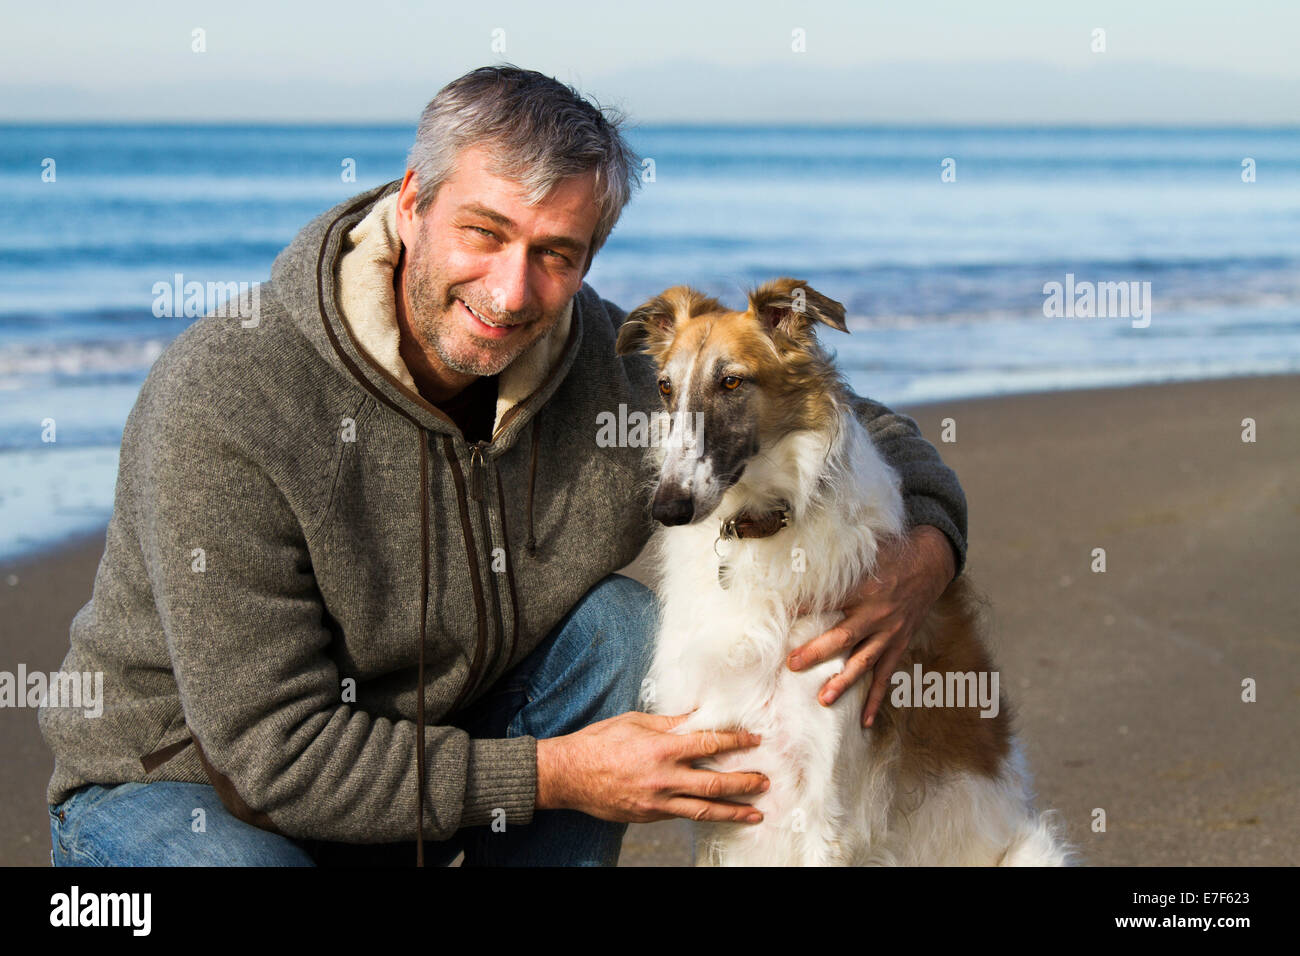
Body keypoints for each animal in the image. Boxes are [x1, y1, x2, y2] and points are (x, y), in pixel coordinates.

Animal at [613, 278, 1071, 868]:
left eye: (731, 381)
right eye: (666, 387)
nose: (668, 506)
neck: (764, 526)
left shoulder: (825, 805)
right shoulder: (719, 795)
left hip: (1031, 850)